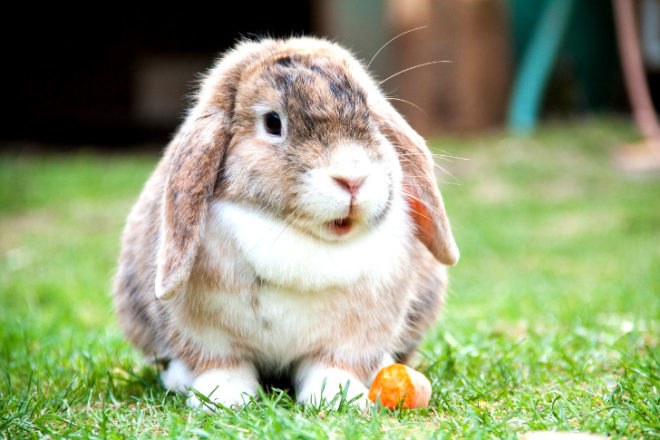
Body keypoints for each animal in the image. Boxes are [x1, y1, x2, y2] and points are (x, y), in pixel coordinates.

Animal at [113, 36, 459, 412]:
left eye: (369, 115)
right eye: (273, 123)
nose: (352, 179)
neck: (298, 235)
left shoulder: (354, 336)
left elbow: (333, 365)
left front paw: (338, 398)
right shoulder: (206, 334)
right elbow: (222, 364)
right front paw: (224, 398)